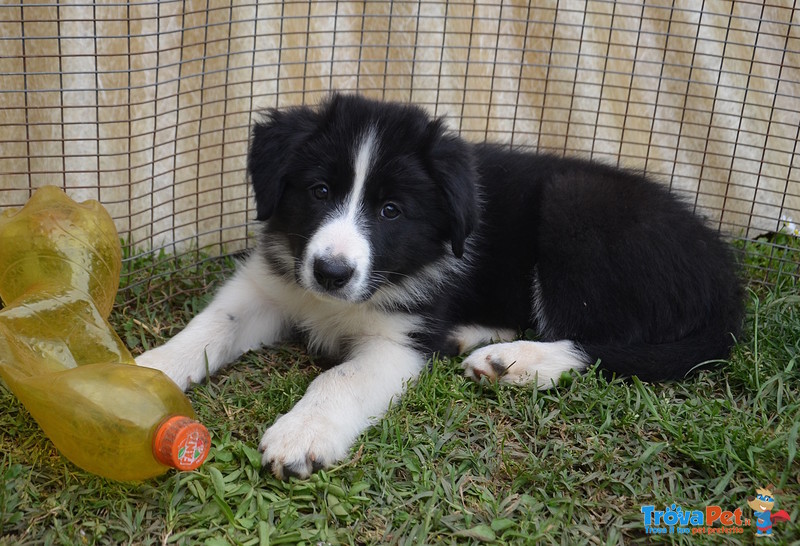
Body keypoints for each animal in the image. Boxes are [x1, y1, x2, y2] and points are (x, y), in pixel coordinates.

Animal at [138, 92, 744, 476]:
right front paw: (148, 371)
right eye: (318, 191)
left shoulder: (400, 339)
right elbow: (211, 325)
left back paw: (517, 362)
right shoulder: (271, 284)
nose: (332, 273)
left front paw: (302, 435)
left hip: (577, 210)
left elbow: (339, 379)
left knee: (601, 342)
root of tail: (725, 279)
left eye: (390, 210)